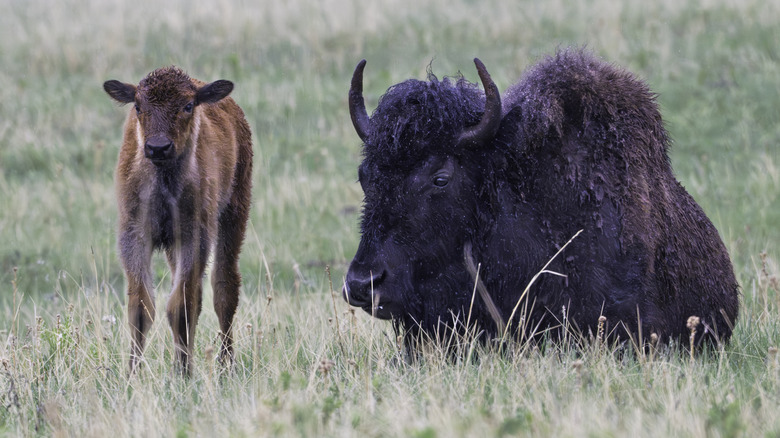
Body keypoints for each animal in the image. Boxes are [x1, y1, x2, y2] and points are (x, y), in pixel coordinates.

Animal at [103, 66, 253, 375]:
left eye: (188, 105)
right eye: (138, 106)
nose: (158, 147)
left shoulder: (193, 237)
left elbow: (181, 306)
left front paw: (183, 372)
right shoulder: (135, 236)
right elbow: (141, 306)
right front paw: (133, 373)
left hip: (235, 213)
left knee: (224, 288)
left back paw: (226, 363)